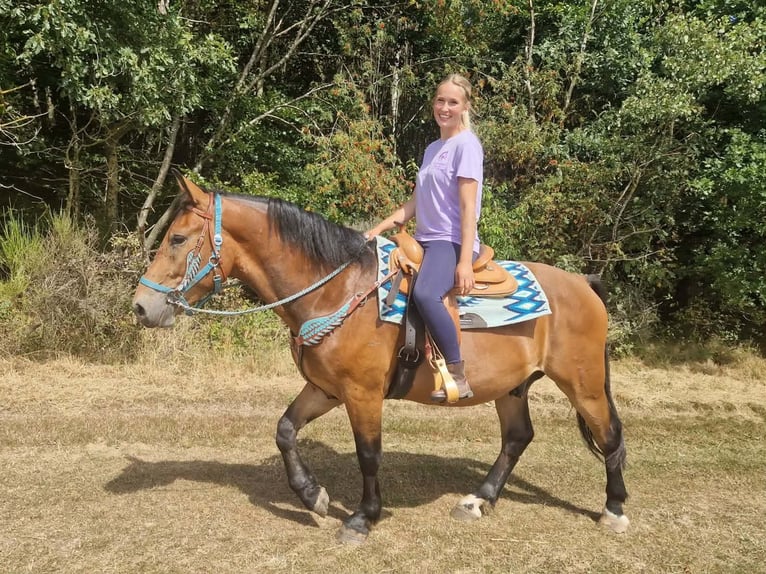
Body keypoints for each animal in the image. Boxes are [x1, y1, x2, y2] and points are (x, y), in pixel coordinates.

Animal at [132, 172, 629, 543]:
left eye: (177, 238)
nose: (141, 306)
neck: (336, 290)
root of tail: (583, 283)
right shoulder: (325, 388)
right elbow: (285, 430)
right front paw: (312, 496)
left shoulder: (362, 393)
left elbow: (369, 454)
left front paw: (362, 517)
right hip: (513, 387)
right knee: (517, 438)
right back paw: (478, 500)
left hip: (582, 383)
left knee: (609, 436)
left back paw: (614, 509)